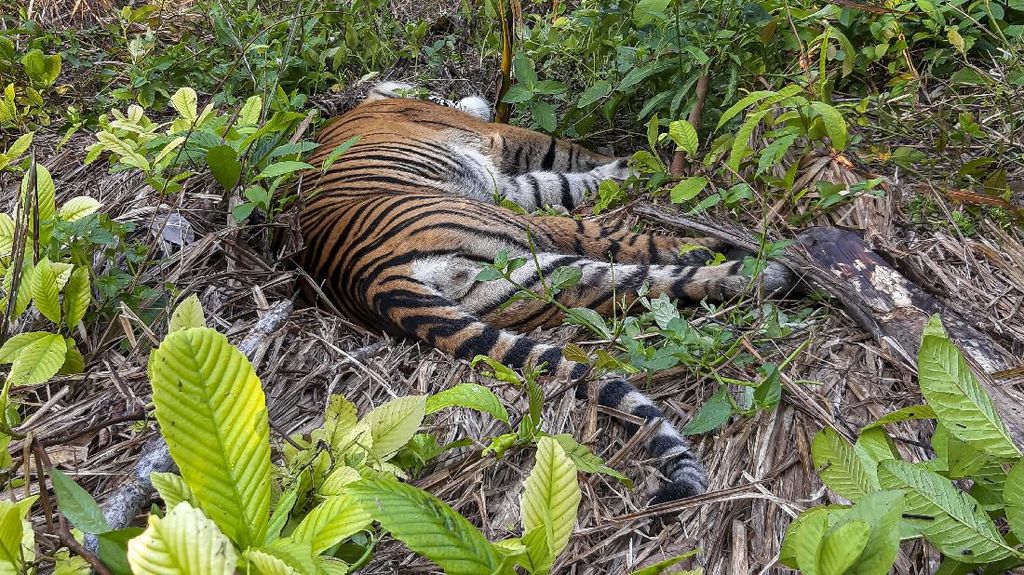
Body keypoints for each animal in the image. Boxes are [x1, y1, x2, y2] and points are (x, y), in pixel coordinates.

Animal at [298, 81, 794, 502]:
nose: (467, 95)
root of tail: (368, 280)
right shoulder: (499, 140)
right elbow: (569, 156)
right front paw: (630, 160)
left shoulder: (512, 185)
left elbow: (563, 180)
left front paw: (622, 165)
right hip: (527, 232)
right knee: (623, 248)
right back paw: (745, 259)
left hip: (528, 279)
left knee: (632, 286)